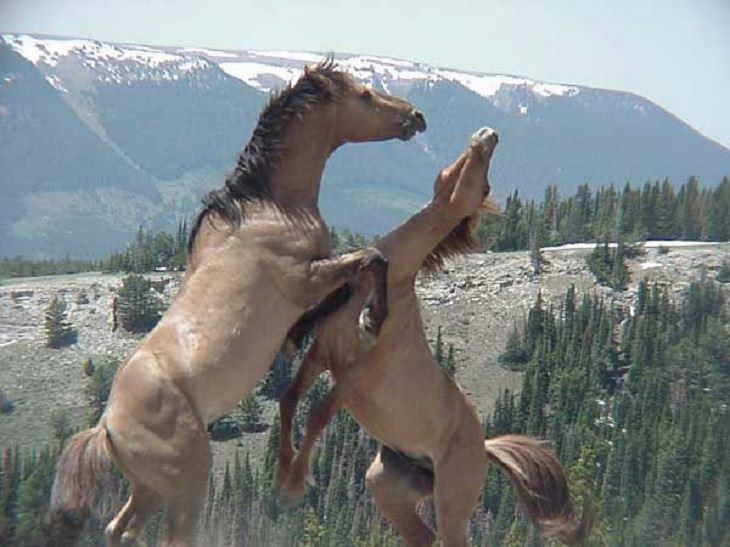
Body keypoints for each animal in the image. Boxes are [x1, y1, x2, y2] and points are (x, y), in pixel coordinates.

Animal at [48, 61, 424, 547]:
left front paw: (302, 337)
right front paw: (373, 318)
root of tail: (107, 427)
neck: (271, 208)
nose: (416, 117)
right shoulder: (304, 279)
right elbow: (372, 260)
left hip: (148, 489)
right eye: (363, 95)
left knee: (120, 529)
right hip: (188, 482)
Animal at [276, 130, 588, 547]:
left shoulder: (355, 377)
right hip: (388, 485)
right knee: (422, 537)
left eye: (484, 184)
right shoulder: (323, 354)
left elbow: (316, 416)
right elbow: (290, 401)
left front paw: (293, 486)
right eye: (466, 171)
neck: (390, 286)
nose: (487, 135)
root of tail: (484, 448)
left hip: (451, 504)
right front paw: (283, 475)